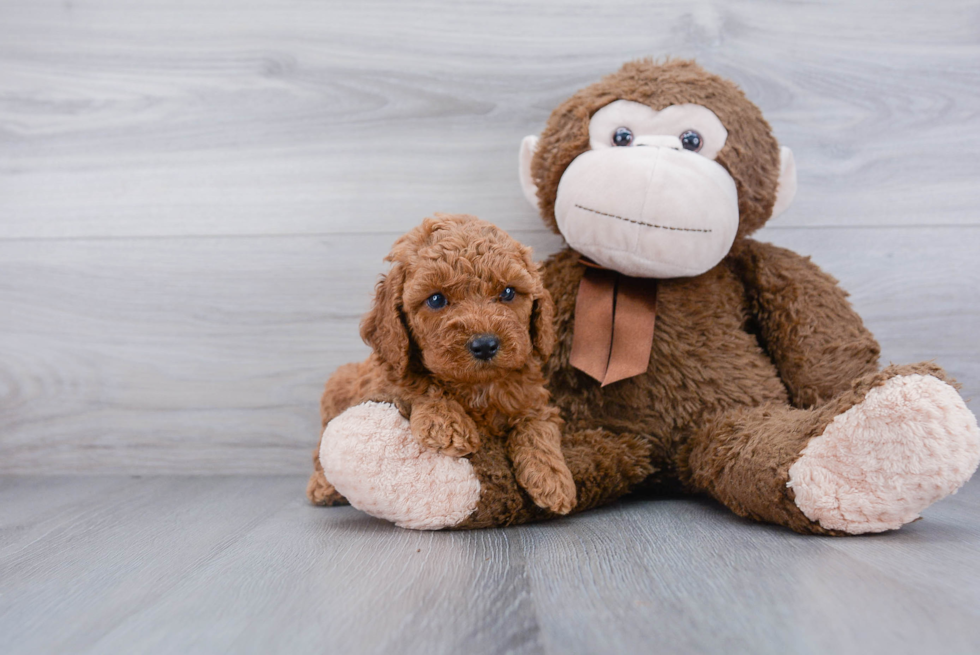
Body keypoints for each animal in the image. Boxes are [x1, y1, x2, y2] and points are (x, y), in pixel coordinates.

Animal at [310, 213, 580, 516]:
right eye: (436, 299)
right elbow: (419, 383)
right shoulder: (389, 373)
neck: (477, 386)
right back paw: (323, 485)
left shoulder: (535, 400)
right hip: (338, 385)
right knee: (322, 445)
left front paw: (553, 479)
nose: (485, 345)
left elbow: (537, 426)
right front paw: (446, 424)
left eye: (509, 292)